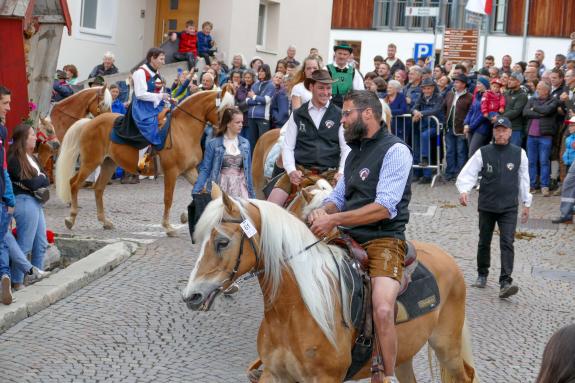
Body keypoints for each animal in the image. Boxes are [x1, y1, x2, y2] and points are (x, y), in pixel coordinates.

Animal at [54, 88, 234, 236]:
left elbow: (211, 191)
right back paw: (71, 218)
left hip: (108, 164)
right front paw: (168, 226)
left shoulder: (189, 170)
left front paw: (185, 216)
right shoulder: (172, 172)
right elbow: (168, 198)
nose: (228, 131)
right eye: (227, 109)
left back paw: (104, 222)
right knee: (74, 183)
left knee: (98, 188)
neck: (184, 129)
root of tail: (89, 122)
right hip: (90, 162)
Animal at [183, 185, 476, 380]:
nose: (191, 296)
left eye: (222, 242)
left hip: (446, 348)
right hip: (406, 353)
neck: (293, 310)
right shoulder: (275, 374)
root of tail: (447, 258)